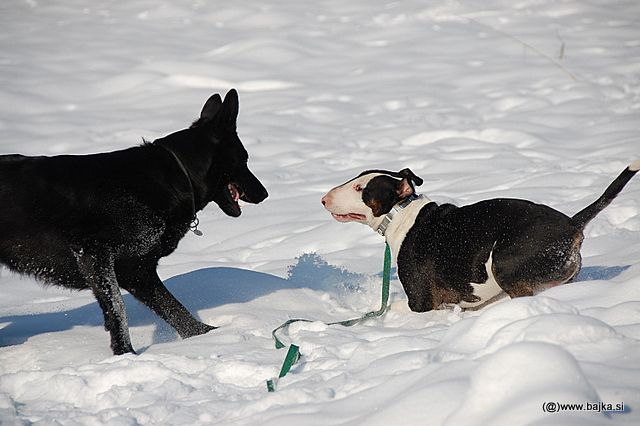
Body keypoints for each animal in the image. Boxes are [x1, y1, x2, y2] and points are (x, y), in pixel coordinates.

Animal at [0, 89, 268, 352]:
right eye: (244, 159)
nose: (264, 193)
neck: (178, 176)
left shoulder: (138, 271)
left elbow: (176, 312)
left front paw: (211, 337)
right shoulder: (95, 256)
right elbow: (118, 308)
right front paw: (125, 353)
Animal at [322, 161, 636, 312]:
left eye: (360, 189)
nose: (324, 199)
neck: (402, 215)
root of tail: (572, 224)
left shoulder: (422, 300)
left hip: (506, 261)